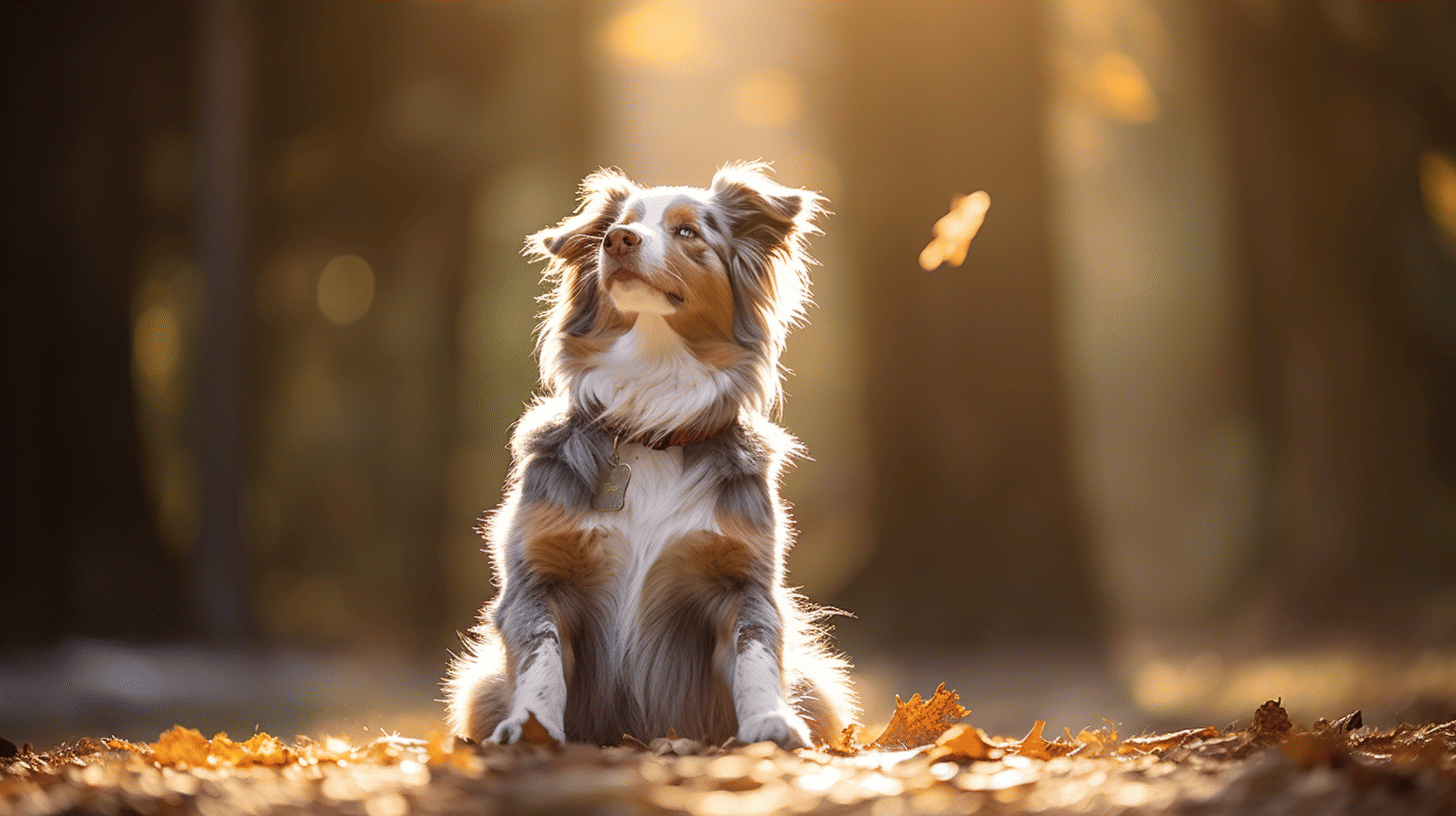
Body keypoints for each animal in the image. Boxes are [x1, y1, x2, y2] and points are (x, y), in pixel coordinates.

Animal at [442, 162, 850, 751]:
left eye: (687, 231)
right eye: (617, 225)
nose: (617, 240)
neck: (651, 423)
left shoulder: (742, 577)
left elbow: (755, 650)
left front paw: (770, 722)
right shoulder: (539, 575)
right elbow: (542, 656)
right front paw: (532, 726)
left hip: (818, 681)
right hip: (479, 685)